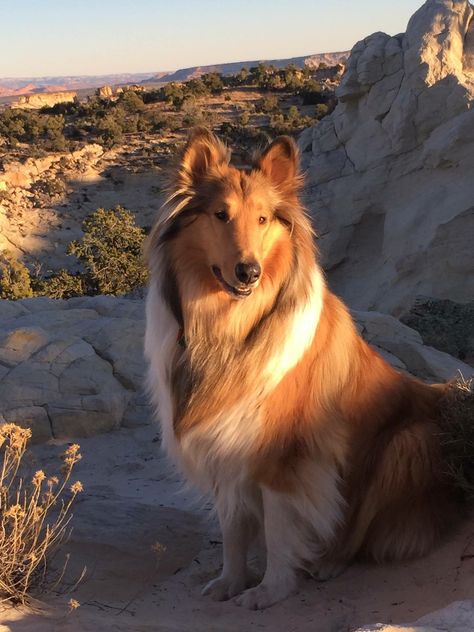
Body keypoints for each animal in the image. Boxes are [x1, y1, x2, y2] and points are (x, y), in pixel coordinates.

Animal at [145, 127, 460, 608]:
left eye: (262, 219)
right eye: (220, 215)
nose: (249, 272)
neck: (229, 330)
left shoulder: (284, 454)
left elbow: (278, 530)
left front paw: (269, 591)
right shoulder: (222, 445)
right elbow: (232, 527)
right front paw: (230, 582)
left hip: (406, 443)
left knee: (360, 531)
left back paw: (328, 562)